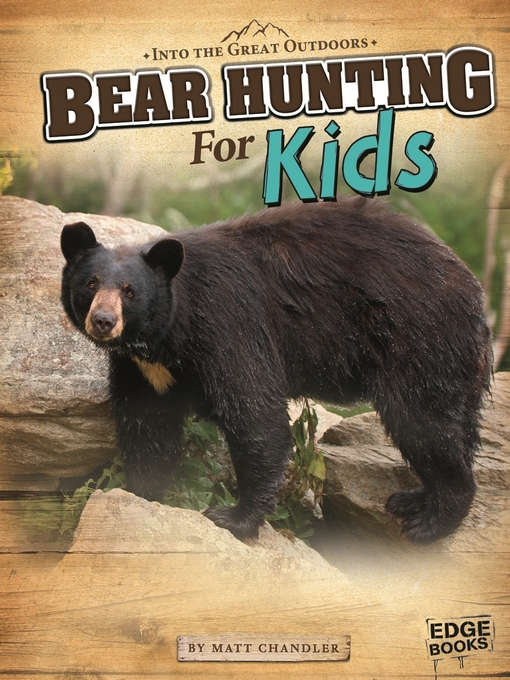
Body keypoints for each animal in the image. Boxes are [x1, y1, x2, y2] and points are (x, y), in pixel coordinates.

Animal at [60, 197, 492, 543]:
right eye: (91, 283)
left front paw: (234, 518)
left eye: (130, 291)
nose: (102, 321)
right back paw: (414, 500)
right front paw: (143, 494)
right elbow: (147, 426)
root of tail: (471, 285)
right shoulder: (142, 370)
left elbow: (254, 413)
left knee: (421, 422)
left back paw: (432, 521)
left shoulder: (227, 323)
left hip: (417, 336)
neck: (165, 337)